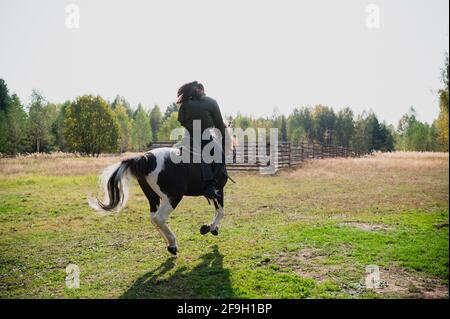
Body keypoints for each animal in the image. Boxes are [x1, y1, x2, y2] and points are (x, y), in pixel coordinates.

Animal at [89, 127, 236, 258]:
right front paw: (210, 228)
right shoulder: (218, 191)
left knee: (154, 218)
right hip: (172, 198)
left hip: (153, 198)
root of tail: (146, 158)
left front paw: (212, 227)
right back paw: (173, 243)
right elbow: (221, 212)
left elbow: (217, 211)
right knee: (159, 218)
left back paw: (170, 245)